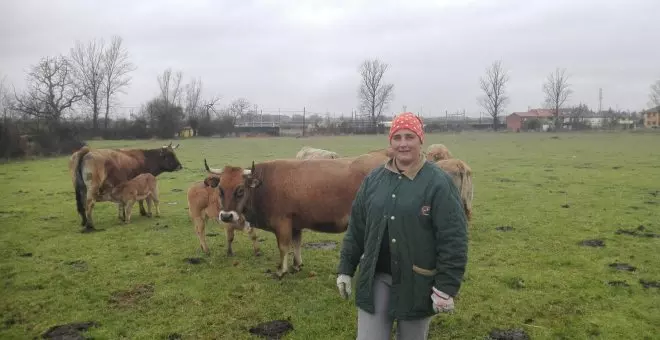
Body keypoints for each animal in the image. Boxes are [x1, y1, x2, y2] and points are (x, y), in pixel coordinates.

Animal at [202, 157, 382, 278]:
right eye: (220, 189)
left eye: (240, 190)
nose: (226, 216)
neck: (264, 186)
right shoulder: (296, 224)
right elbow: (296, 243)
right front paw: (297, 265)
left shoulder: (282, 223)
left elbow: (283, 247)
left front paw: (281, 271)